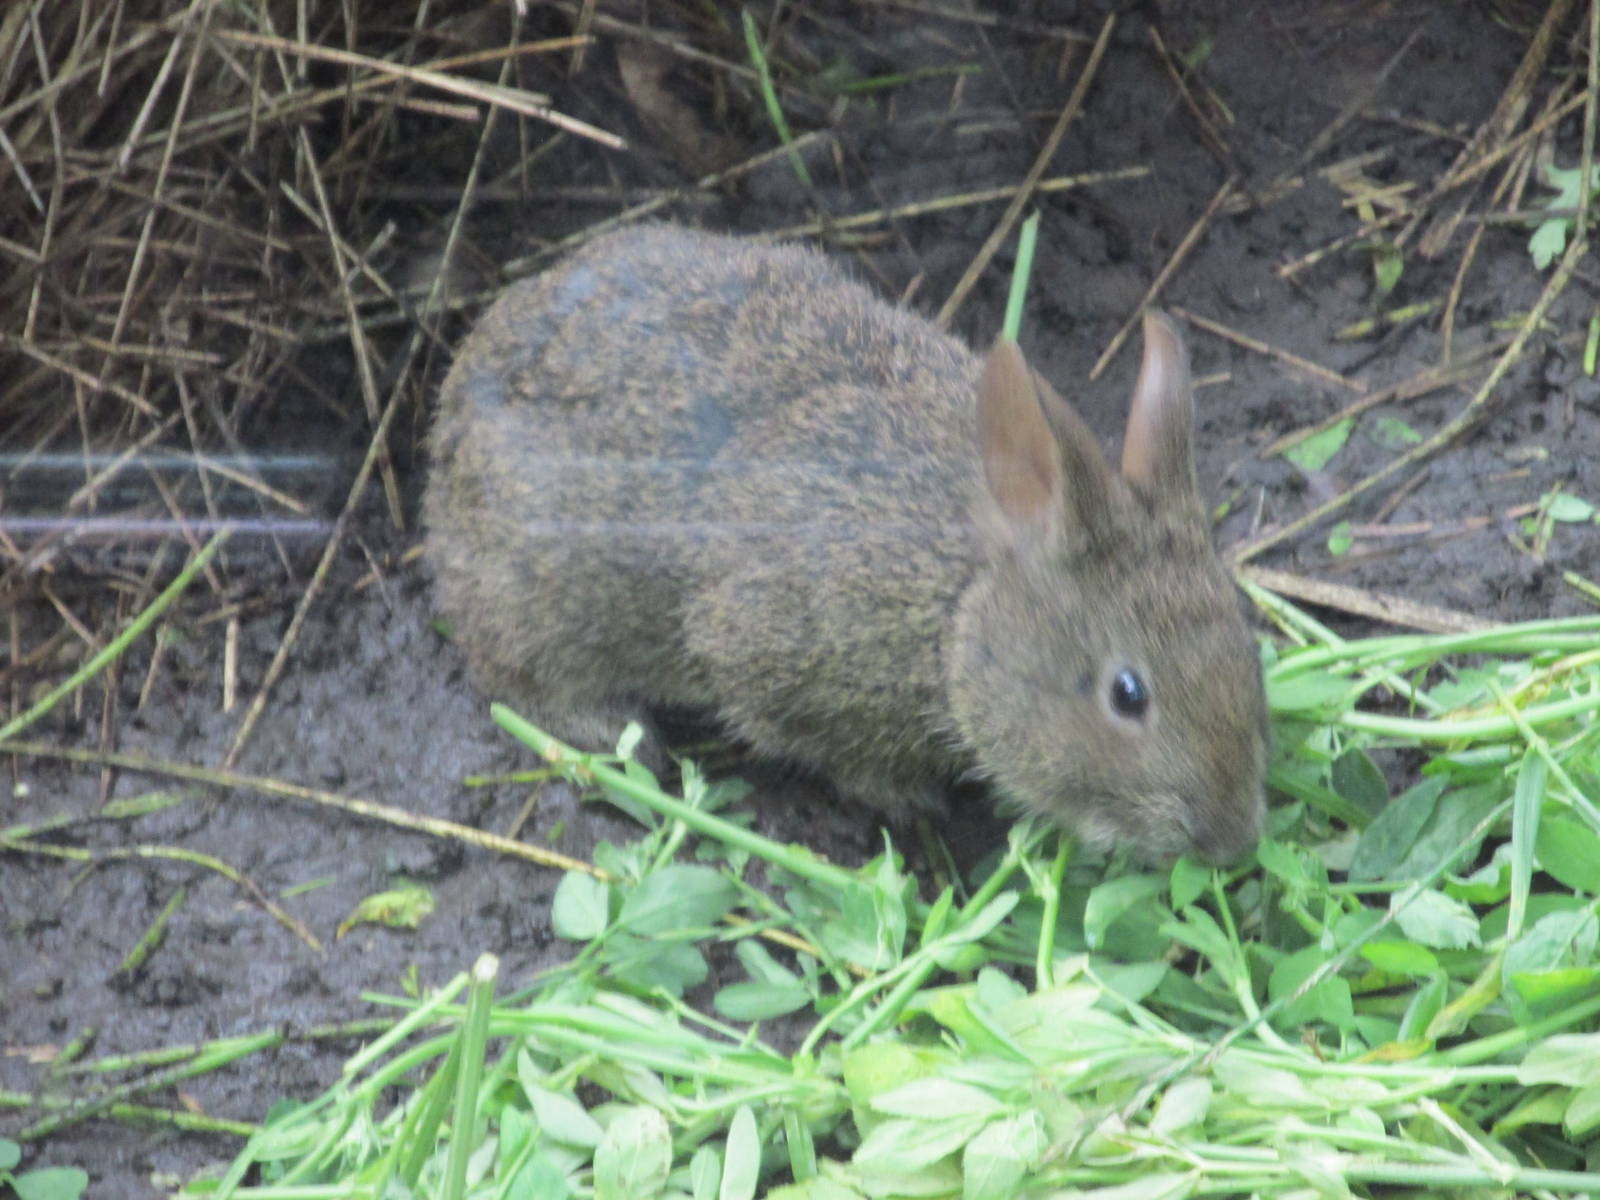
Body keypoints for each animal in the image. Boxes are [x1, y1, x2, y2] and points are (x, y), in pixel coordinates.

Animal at [424, 223, 1268, 864]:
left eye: (1247, 647)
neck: (959, 605)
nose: (1232, 841)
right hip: (537, 598)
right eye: (1127, 694)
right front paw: (909, 799)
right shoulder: (777, 654)